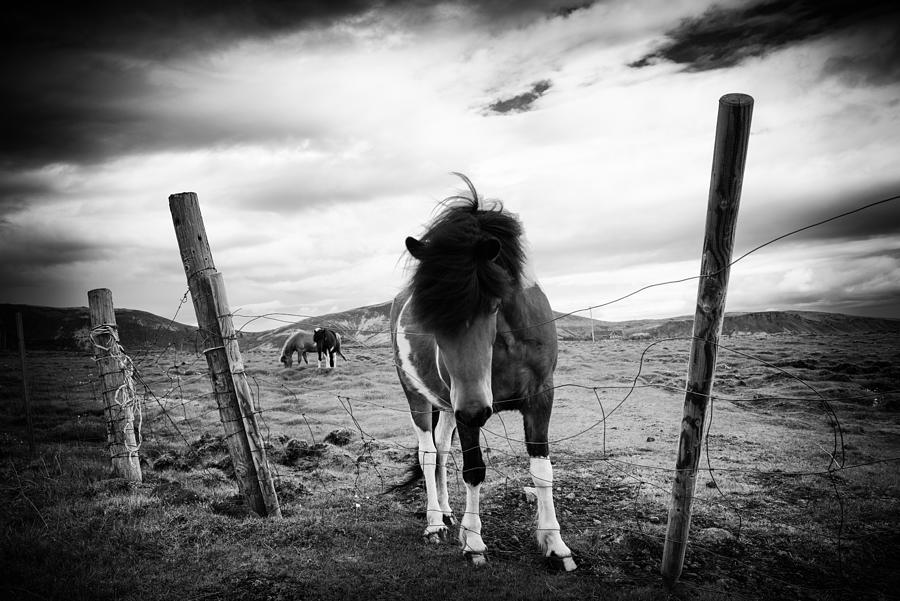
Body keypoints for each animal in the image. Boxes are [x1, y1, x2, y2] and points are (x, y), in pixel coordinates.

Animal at [388, 175, 576, 572]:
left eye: (493, 304)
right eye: (428, 318)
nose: (475, 409)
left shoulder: (541, 398)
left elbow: (542, 470)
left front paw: (555, 544)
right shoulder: (466, 409)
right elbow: (474, 470)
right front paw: (474, 542)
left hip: (446, 405)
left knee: (442, 451)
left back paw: (446, 513)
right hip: (419, 397)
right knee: (428, 454)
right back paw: (434, 521)